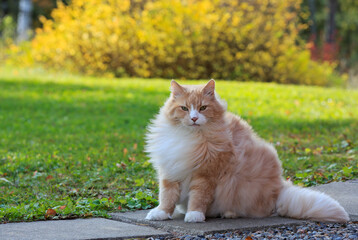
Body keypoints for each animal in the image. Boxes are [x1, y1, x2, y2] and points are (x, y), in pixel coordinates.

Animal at [143, 79, 350, 223]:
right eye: (184, 108)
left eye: (202, 108)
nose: (194, 118)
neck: (189, 137)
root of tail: (279, 190)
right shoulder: (170, 170)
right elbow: (167, 196)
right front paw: (161, 213)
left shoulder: (206, 174)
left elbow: (198, 198)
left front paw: (194, 215)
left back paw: (228, 214)